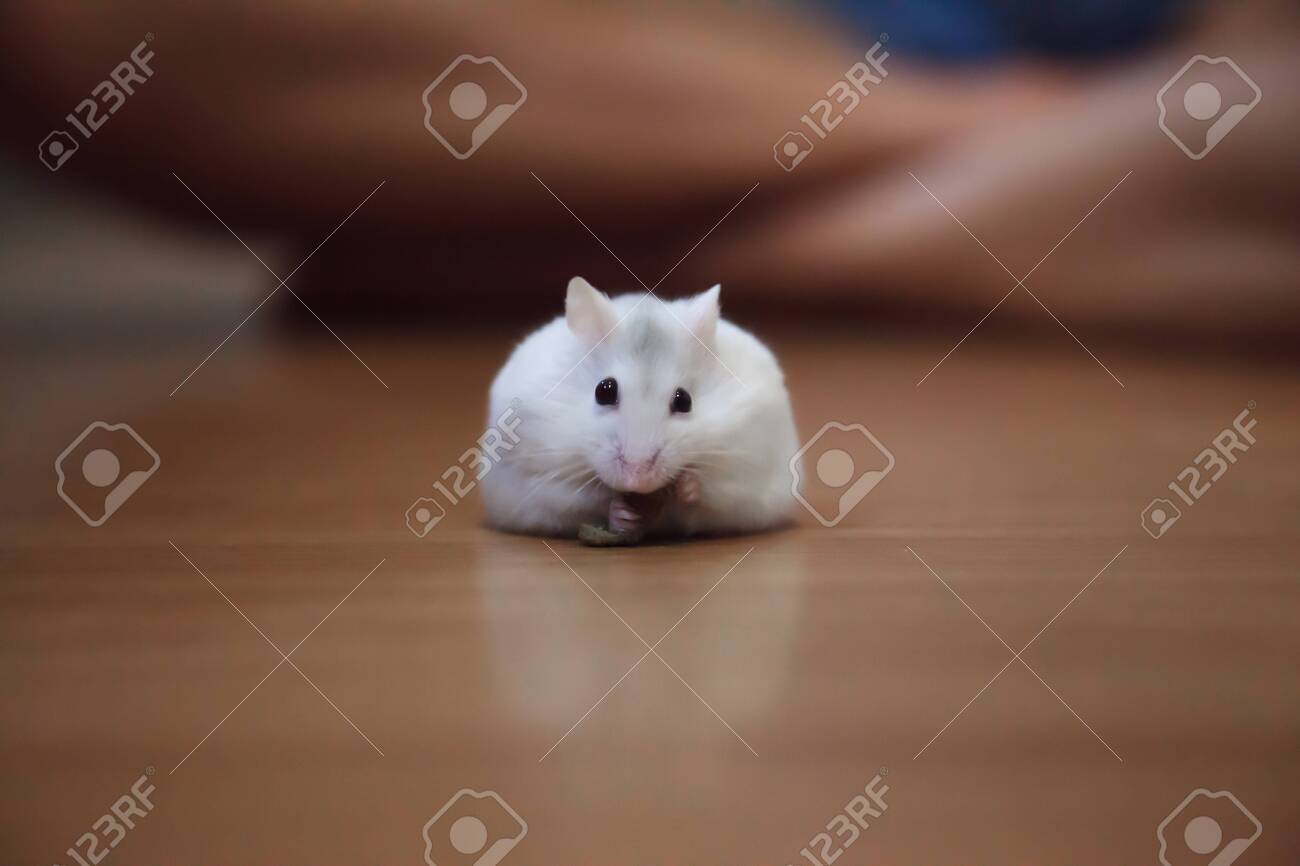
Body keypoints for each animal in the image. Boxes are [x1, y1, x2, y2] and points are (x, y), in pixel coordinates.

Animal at [481, 276, 801, 538]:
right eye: (604, 391)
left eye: (684, 400)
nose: (639, 479)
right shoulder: (541, 479)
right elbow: (585, 498)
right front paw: (622, 513)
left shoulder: (743, 472)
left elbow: (709, 491)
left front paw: (686, 486)